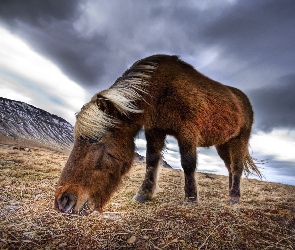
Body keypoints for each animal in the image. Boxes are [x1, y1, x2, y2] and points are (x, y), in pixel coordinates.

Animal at [53, 54, 262, 215]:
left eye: (97, 141)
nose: (63, 202)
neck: (160, 90)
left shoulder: (187, 133)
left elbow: (188, 164)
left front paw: (190, 199)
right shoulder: (154, 130)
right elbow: (152, 161)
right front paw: (143, 194)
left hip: (239, 140)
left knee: (236, 167)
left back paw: (234, 197)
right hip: (223, 144)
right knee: (230, 167)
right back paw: (231, 192)